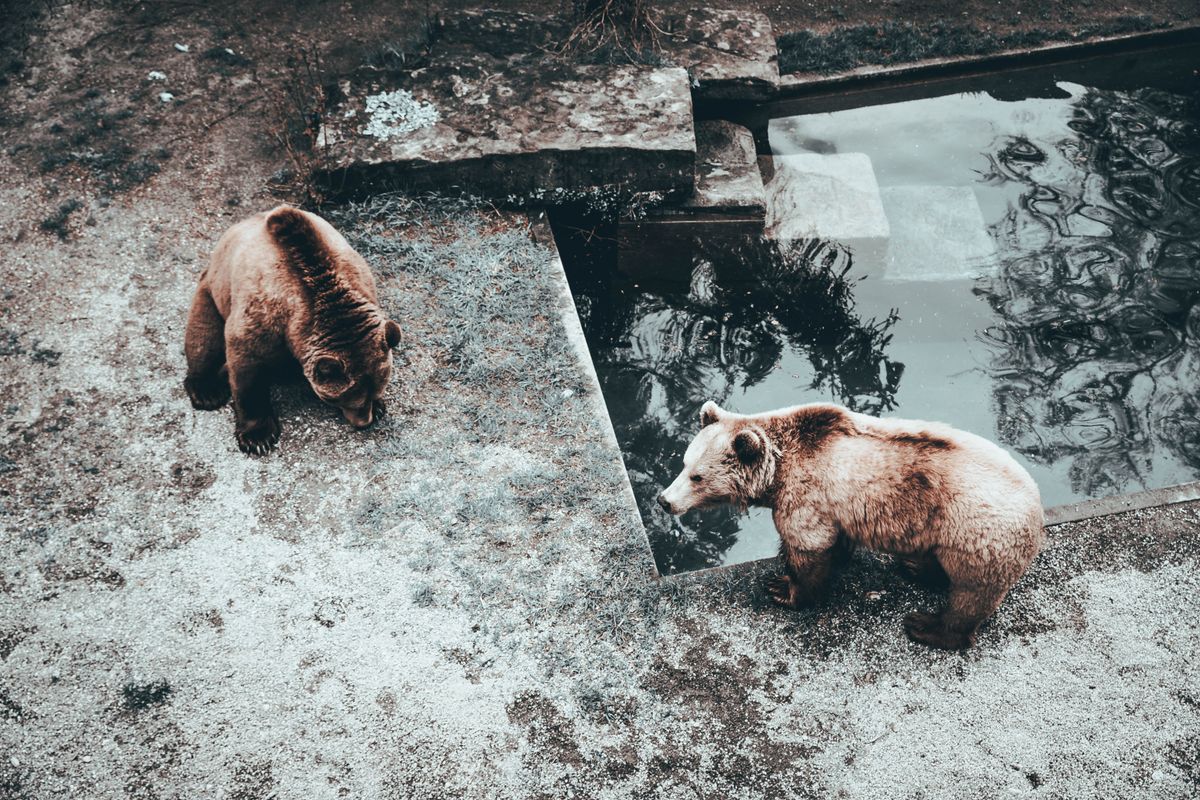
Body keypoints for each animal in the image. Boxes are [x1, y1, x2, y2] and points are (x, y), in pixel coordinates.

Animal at [184, 205, 402, 455]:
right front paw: (258, 437)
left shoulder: (362, 281)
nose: (363, 422)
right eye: (342, 399)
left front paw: (379, 407)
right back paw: (206, 390)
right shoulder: (263, 316)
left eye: (374, 392)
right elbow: (246, 370)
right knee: (204, 336)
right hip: (214, 289)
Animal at [658, 400, 1044, 650]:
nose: (664, 500)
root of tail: (1036, 505)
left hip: (977, 534)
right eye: (684, 462)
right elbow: (834, 542)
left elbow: (808, 545)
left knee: (970, 596)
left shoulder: (805, 494)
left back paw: (925, 626)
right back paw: (915, 567)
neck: (775, 476)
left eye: (697, 476)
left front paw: (783, 587)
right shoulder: (832, 506)